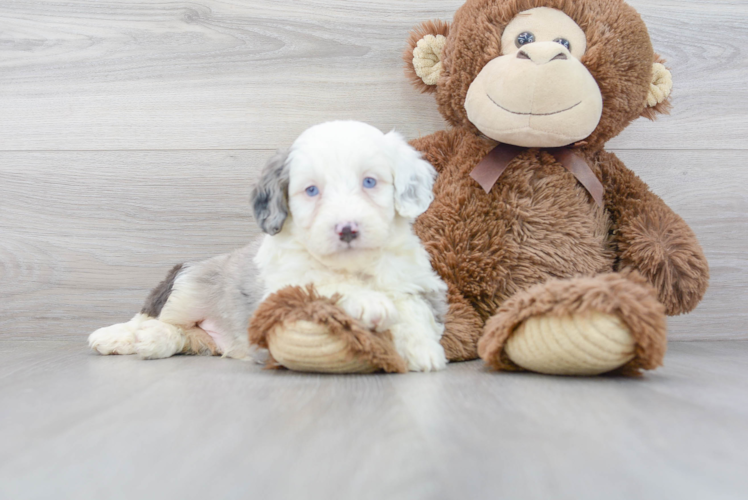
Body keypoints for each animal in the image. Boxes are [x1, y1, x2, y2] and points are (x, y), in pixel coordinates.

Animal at [90, 120, 448, 372]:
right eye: (311, 190)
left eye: (370, 182)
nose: (347, 229)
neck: (354, 266)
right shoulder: (282, 289)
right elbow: (321, 282)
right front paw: (368, 302)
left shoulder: (422, 284)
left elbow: (413, 307)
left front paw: (422, 349)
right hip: (189, 286)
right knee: (151, 317)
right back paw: (115, 336)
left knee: (180, 334)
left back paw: (153, 341)